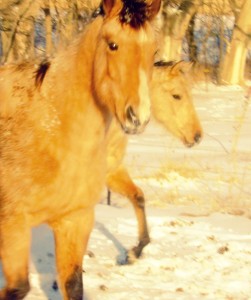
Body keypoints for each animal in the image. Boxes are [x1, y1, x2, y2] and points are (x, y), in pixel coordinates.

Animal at [0, 0, 161, 298]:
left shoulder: (75, 221)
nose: (138, 117)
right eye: (112, 44)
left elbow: (73, 285)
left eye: (153, 49)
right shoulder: (12, 225)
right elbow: (17, 288)